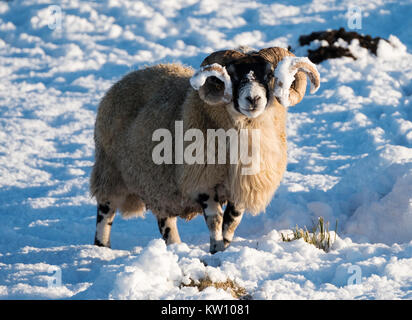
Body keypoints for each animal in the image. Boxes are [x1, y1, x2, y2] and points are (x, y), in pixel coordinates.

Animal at [91, 47, 320, 252]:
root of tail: (128, 77)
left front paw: (224, 247)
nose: (253, 99)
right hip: (110, 171)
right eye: (232, 75)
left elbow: (232, 220)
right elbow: (215, 219)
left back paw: (175, 247)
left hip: (157, 182)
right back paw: (102, 249)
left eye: (269, 74)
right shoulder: (203, 181)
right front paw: (215, 249)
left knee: (165, 221)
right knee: (105, 214)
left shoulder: (241, 184)